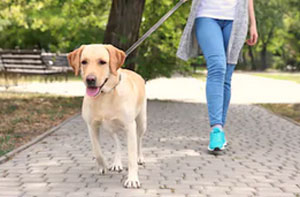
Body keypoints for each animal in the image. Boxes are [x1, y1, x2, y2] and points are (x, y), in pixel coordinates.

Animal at [67, 44, 146, 188]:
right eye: (84, 62)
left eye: (102, 62)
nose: (90, 80)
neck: (105, 95)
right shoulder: (91, 126)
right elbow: (97, 151)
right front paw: (103, 166)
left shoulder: (130, 126)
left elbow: (131, 156)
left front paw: (132, 179)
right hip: (109, 127)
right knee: (117, 142)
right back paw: (116, 163)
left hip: (142, 122)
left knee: (139, 140)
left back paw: (140, 158)